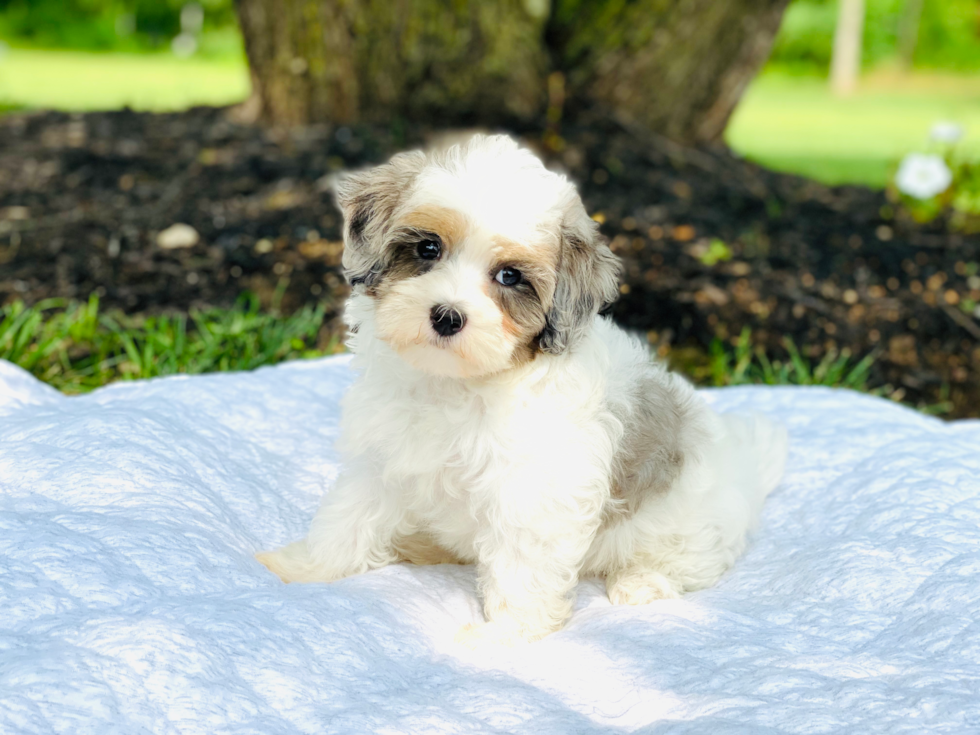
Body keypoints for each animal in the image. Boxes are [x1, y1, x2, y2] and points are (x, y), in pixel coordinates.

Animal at [255, 135, 788, 648]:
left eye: (509, 277)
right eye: (428, 249)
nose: (447, 316)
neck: (457, 384)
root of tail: (745, 467)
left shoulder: (533, 494)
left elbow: (522, 569)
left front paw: (505, 635)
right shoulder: (381, 461)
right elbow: (348, 519)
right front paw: (304, 568)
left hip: (688, 526)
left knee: (692, 562)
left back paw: (642, 582)